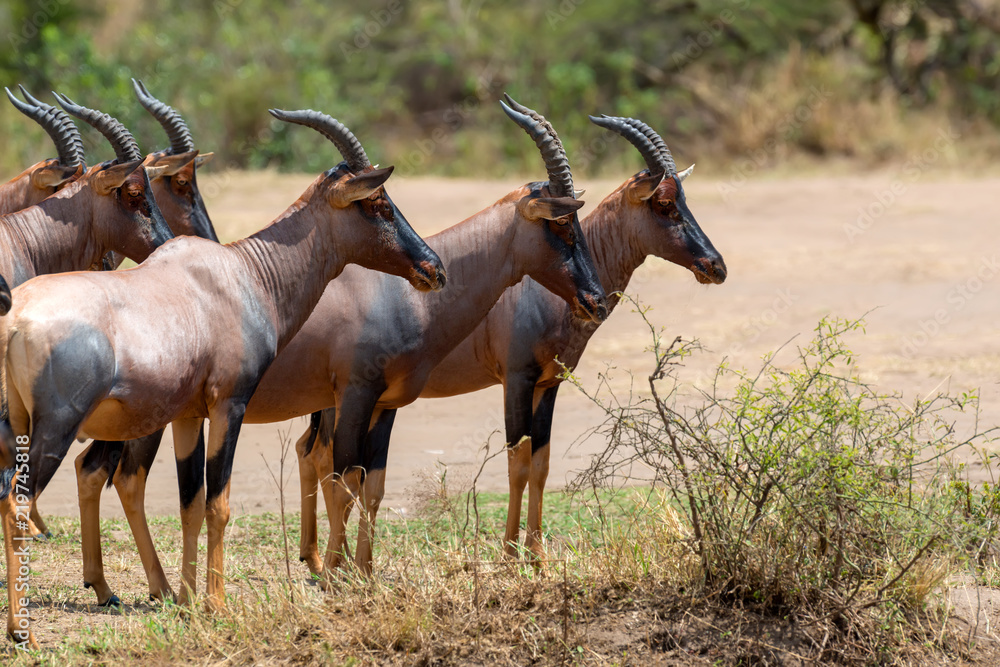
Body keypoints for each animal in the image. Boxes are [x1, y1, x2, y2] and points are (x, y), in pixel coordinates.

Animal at [0, 108, 446, 648]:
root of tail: (16, 317)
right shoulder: (228, 405)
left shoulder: (189, 415)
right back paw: (23, 632)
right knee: (17, 504)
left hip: (27, 425)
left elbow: (191, 502)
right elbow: (219, 503)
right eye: (377, 202)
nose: (434, 269)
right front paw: (217, 604)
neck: (239, 275)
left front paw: (189, 600)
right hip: (55, 429)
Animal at [64, 95, 608, 600]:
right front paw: (336, 574)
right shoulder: (355, 394)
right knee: (122, 477)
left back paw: (114, 585)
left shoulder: (385, 405)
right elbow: (343, 482)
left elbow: (372, 485)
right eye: (561, 224)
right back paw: (152, 588)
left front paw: (362, 573)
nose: (596, 300)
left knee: (97, 471)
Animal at [298, 112, 728, 568]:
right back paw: (327, 562)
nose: (715, 266)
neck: (541, 286)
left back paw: (314, 558)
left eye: (683, 199)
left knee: (308, 450)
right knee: (322, 456)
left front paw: (537, 555)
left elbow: (540, 463)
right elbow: (517, 462)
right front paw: (509, 555)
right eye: (663, 203)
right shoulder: (517, 379)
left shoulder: (549, 383)